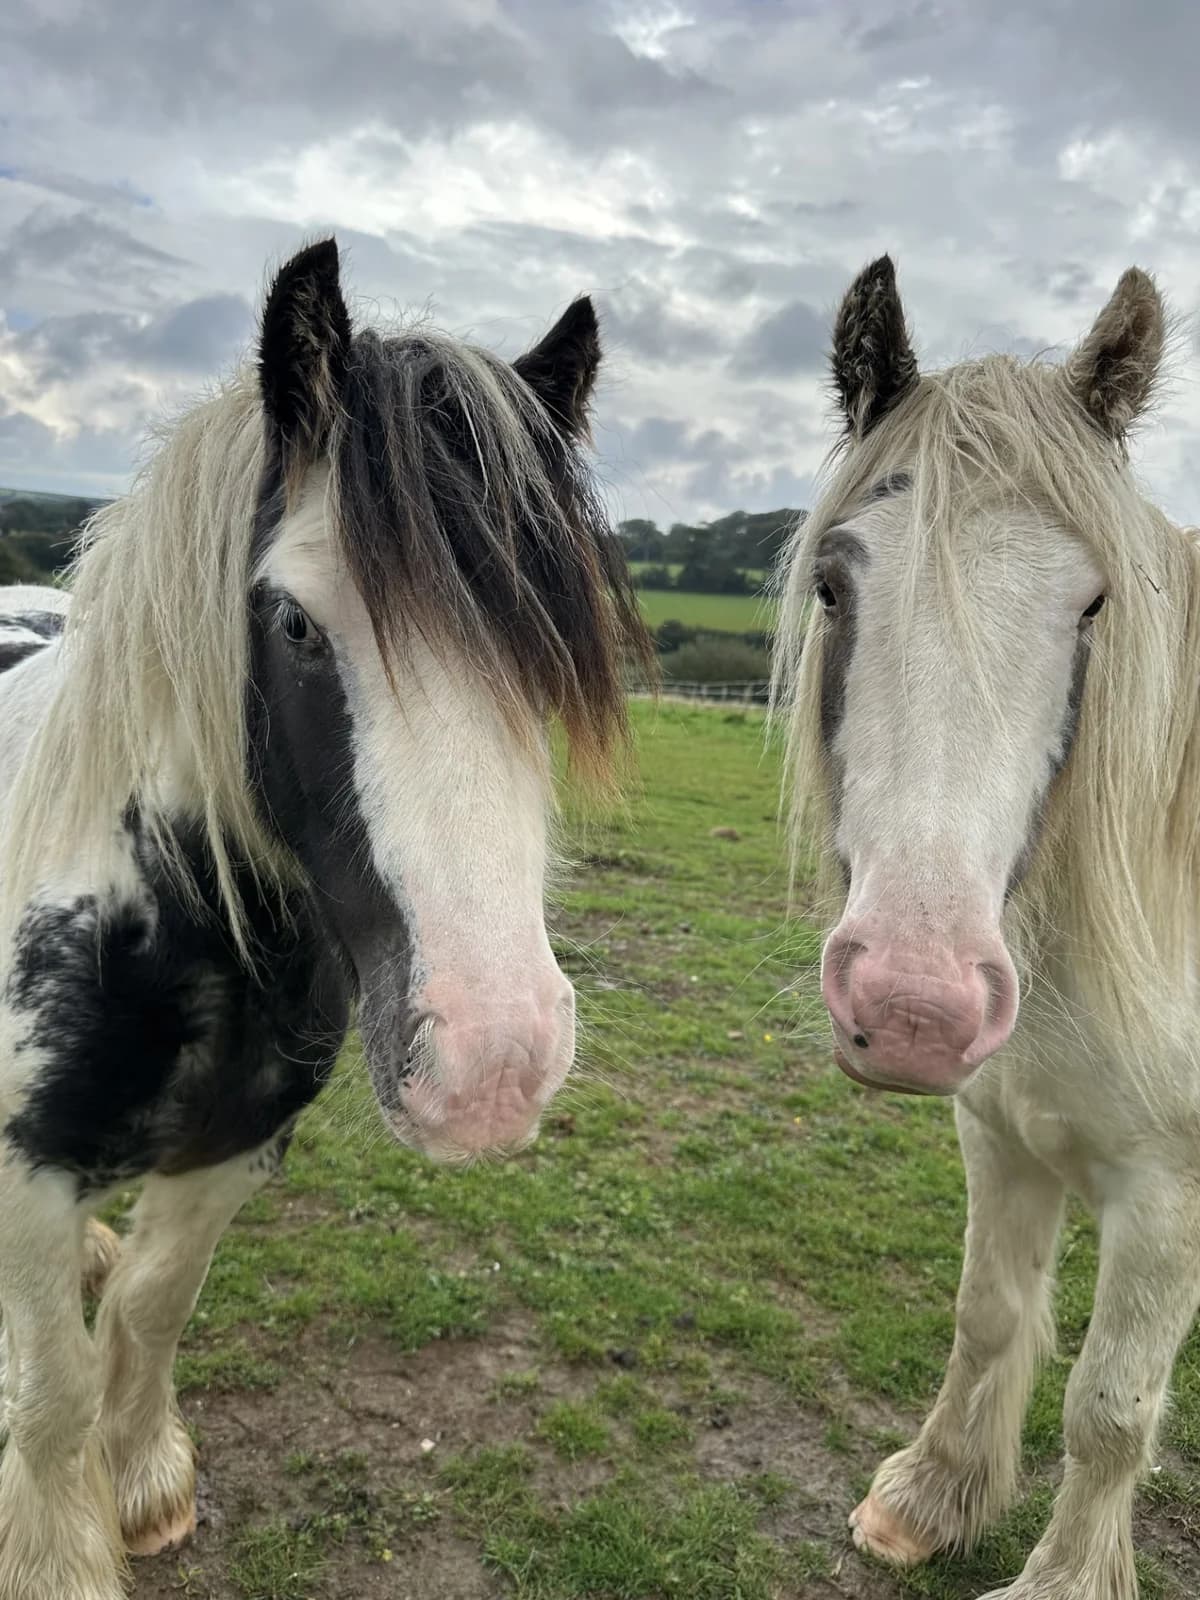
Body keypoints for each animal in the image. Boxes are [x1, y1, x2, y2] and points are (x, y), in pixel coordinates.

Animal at [0, 237, 650, 1600]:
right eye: (296, 621)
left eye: (548, 646)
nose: (493, 1060)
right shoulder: (24, 1169)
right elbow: (51, 1389)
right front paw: (57, 1558)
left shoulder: (234, 1150)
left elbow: (147, 1309)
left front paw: (142, 1483)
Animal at [774, 256, 1200, 1599]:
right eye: (834, 583)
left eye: (1093, 605)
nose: (913, 1007)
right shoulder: (998, 1132)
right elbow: (990, 1317)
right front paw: (932, 1495)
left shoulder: (1169, 1198)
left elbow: (1111, 1409)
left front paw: (1064, 1579)